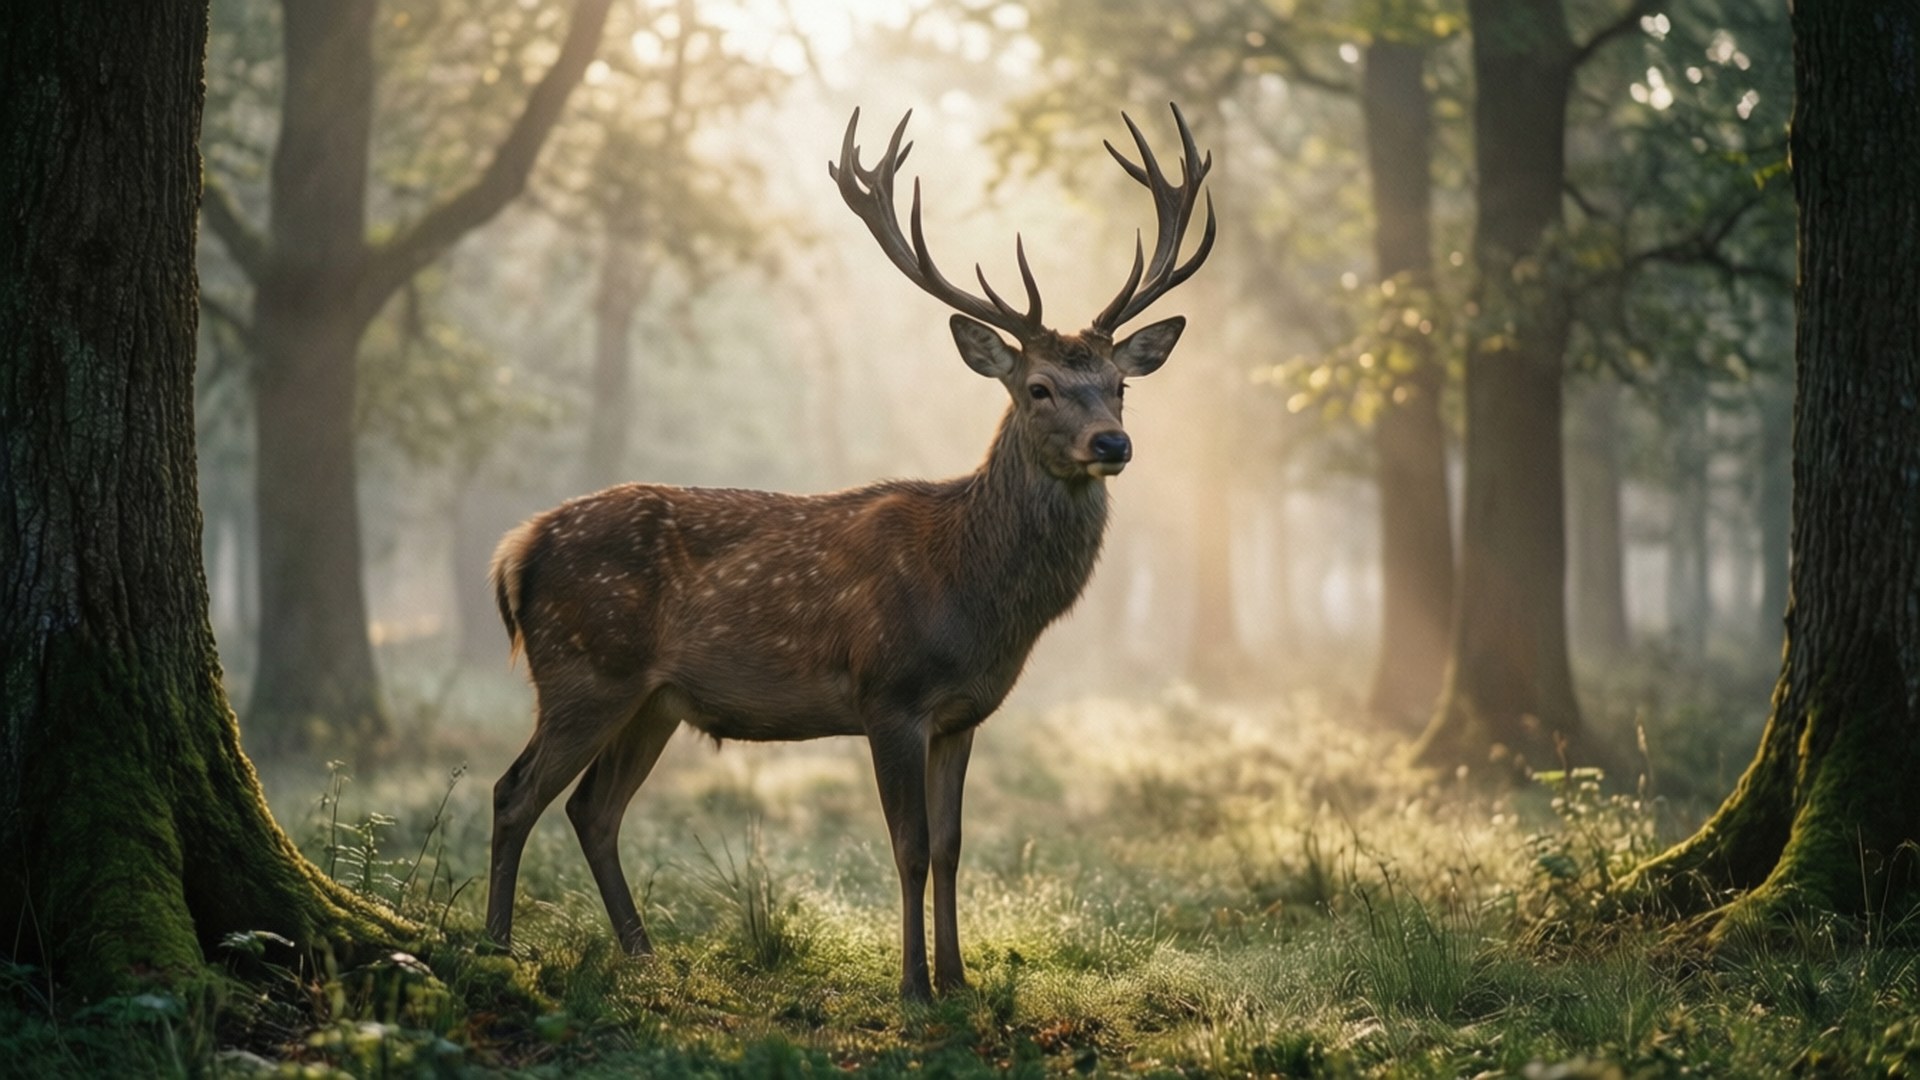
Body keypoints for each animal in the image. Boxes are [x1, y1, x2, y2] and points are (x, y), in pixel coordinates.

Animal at [485, 103, 1214, 1001]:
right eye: (1038, 388)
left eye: (1119, 384)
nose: (1112, 443)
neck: (972, 596)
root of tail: (518, 548)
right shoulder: (888, 695)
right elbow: (907, 849)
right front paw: (913, 988)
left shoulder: (964, 713)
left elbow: (952, 848)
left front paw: (959, 981)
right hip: (583, 667)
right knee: (515, 792)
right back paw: (494, 948)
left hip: (652, 699)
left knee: (593, 809)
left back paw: (642, 954)